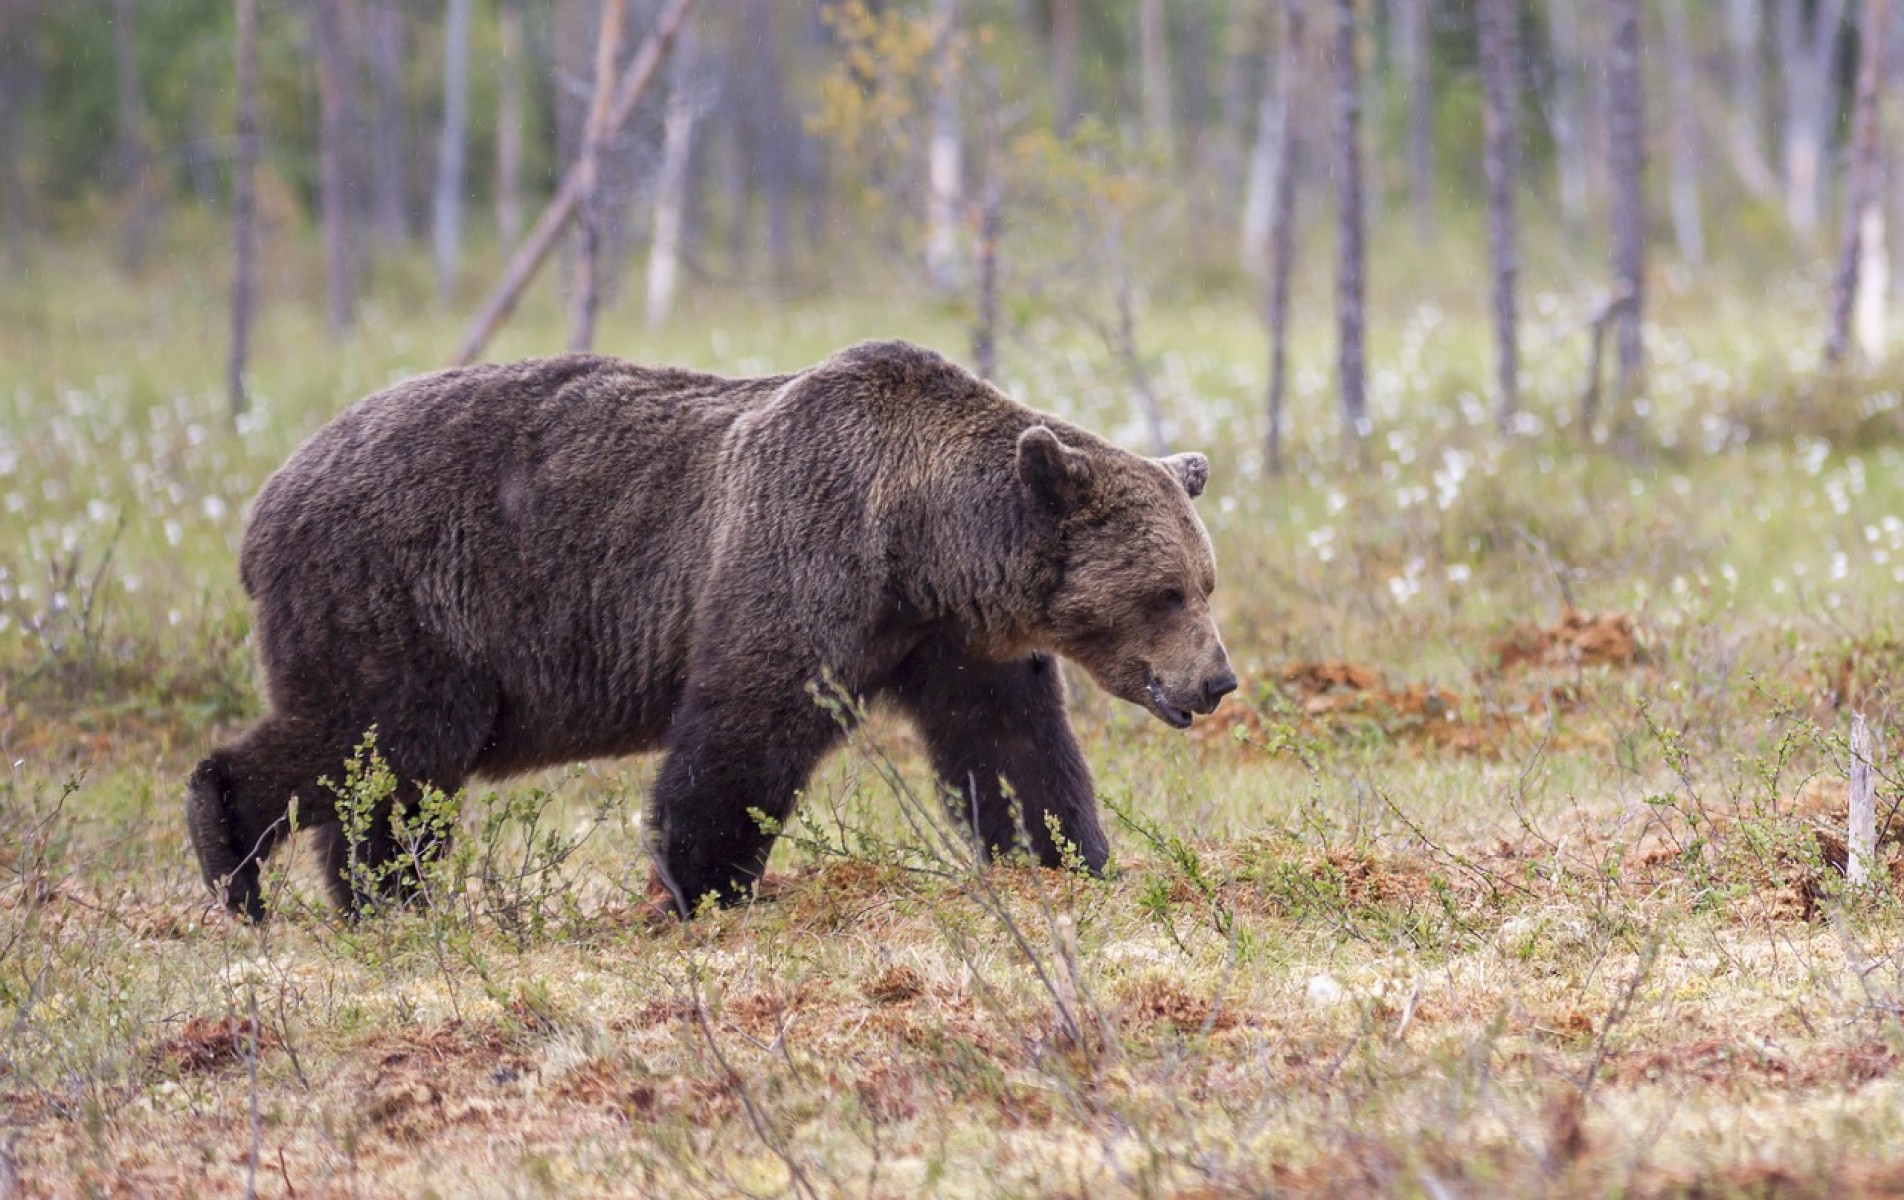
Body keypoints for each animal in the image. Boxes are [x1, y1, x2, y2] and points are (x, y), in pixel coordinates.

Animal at [189, 339, 1233, 921]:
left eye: (1204, 582)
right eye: (1168, 592)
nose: (1217, 681)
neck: (921, 541)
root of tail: (266, 499)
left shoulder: (949, 640)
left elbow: (1011, 751)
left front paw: (1067, 856)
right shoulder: (805, 559)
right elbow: (743, 731)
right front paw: (698, 883)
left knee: (381, 777)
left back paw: (375, 899)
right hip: (404, 594)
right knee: (385, 738)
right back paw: (236, 855)